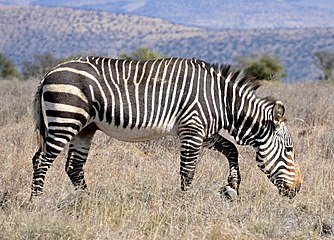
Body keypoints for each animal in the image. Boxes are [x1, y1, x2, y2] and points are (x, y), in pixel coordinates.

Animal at [30, 55, 302, 199]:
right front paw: (185, 204)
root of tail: (48, 74)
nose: (298, 189)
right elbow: (188, 171)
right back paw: (37, 202)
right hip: (66, 119)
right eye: (289, 150)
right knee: (42, 161)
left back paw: (87, 201)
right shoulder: (192, 129)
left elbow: (232, 150)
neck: (223, 101)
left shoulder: (205, 133)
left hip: (85, 128)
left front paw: (232, 188)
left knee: (73, 166)